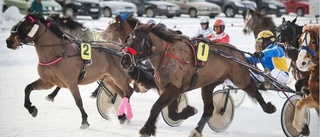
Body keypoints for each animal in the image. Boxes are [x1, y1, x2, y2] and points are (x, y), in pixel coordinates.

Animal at [5, 12, 135, 128]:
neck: (58, 53)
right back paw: (123, 116)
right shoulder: (48, 82)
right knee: (121, 93)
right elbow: (28, 88)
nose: (9, 41)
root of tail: (121, 51)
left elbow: (78, 101)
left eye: (27, 26)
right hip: (108, 79)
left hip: (119, 77)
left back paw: (122, 115)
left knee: (128, 91)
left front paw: (84, 121)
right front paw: (31, 108)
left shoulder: (71, 83)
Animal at [121, 23, 276, 136]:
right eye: (128, 39)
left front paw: (146, 129)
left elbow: (156, 107)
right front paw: (189, 110)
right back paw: (197, 130)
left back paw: (268, 107)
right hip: (208, 85)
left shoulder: (173, 88)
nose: (125, 61)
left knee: (253, 90)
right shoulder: (167, 88)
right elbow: (171, 113)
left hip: (240, 78)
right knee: (209, 109)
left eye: (140, 40)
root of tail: (238, 54)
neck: (168, 55)